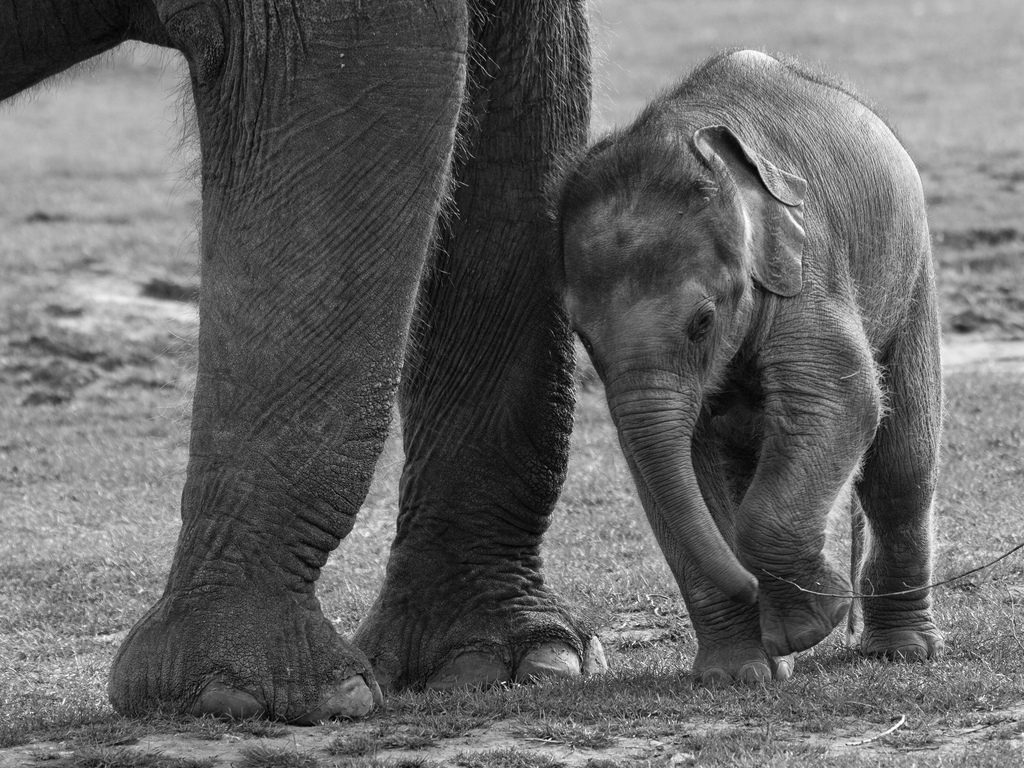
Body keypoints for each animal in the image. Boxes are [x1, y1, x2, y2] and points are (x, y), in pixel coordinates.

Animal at [557, 49, 937, 684]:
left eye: (703, 321)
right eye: (582, 336)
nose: (754, 590)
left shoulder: (807, 264)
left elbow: (839, 397)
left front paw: (807, 625)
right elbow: (673, 463)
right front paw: (738, 674)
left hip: (912, 275)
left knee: (900, 468)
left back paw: (900, 650)